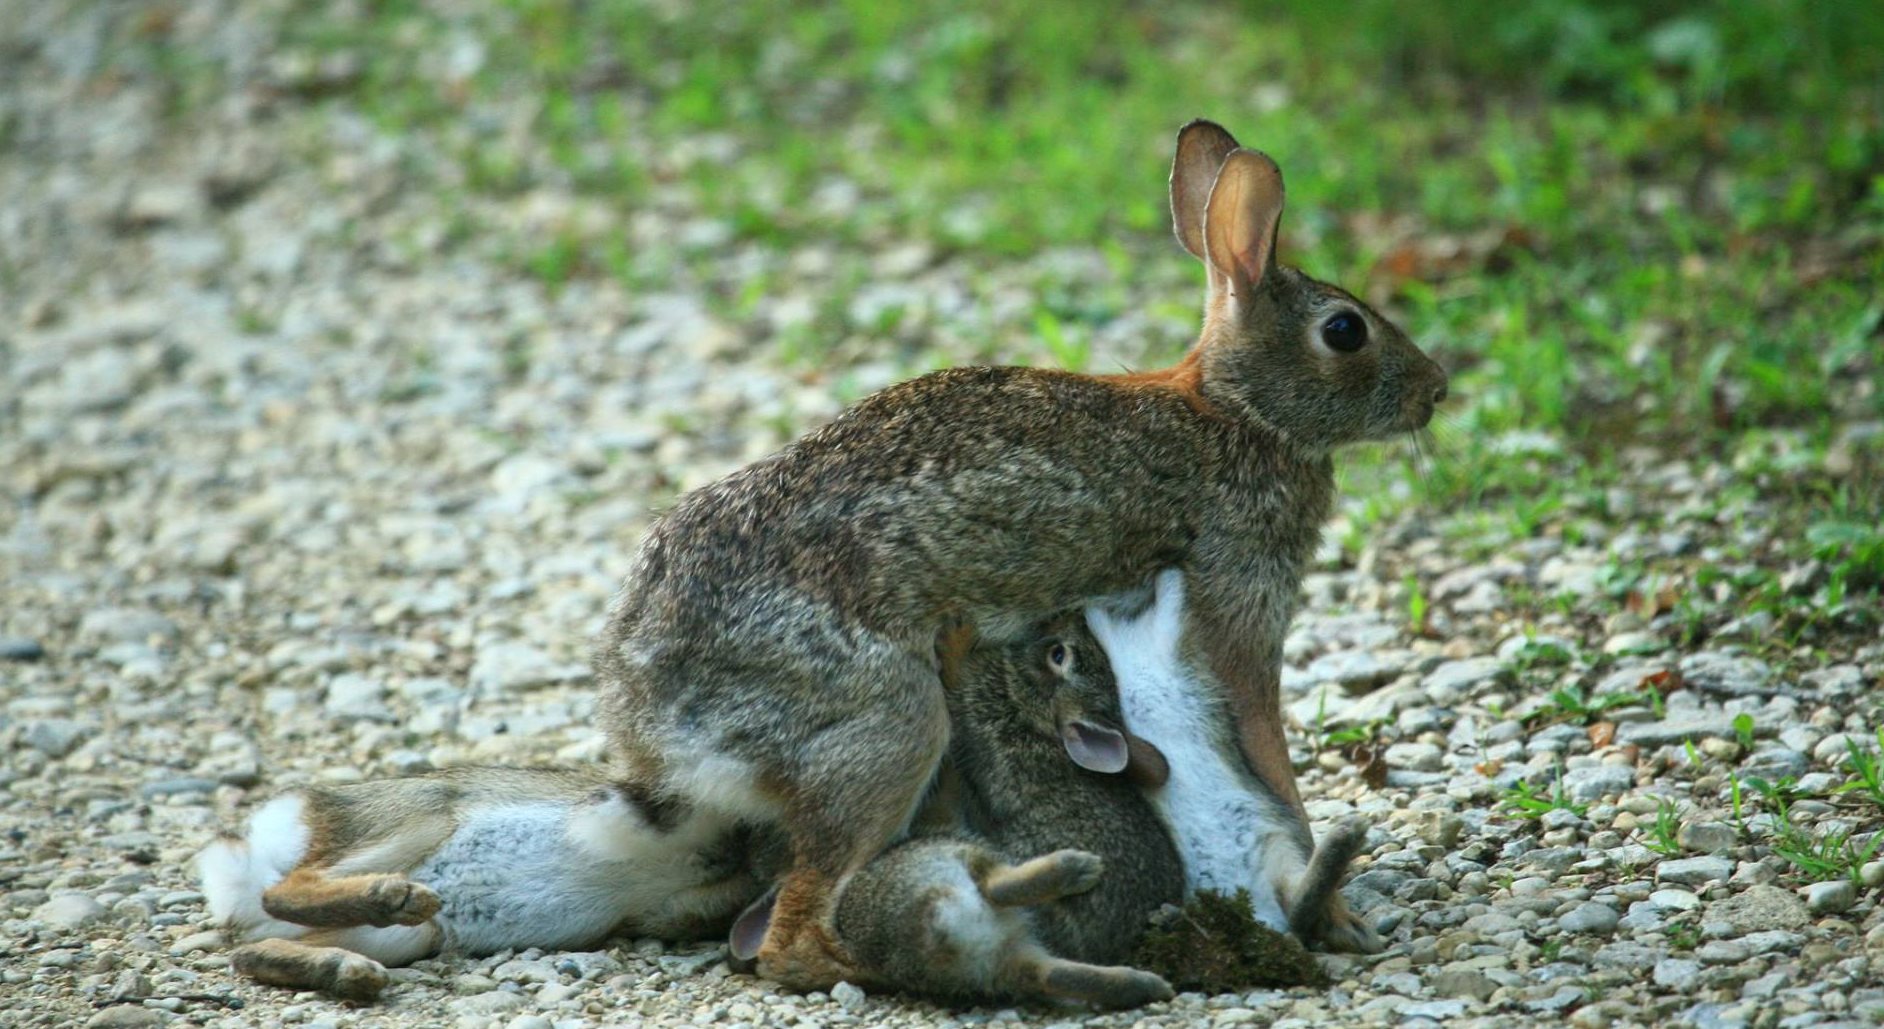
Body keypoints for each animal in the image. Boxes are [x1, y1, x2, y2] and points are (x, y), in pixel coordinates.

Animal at [198, 761, 772, 995]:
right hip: (422, 816)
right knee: (283, 892)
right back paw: (392, 896)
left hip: (407, 937)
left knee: (252, 949)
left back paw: (349, 973)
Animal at [595, 115, 1446, 980]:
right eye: (1345, 330)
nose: (1436, 389)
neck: (1238, 412)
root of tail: (650, 719)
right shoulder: (1239, 606)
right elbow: (1272, 764)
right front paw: (1339, 914)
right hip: (888, 729)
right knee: (792, 935)